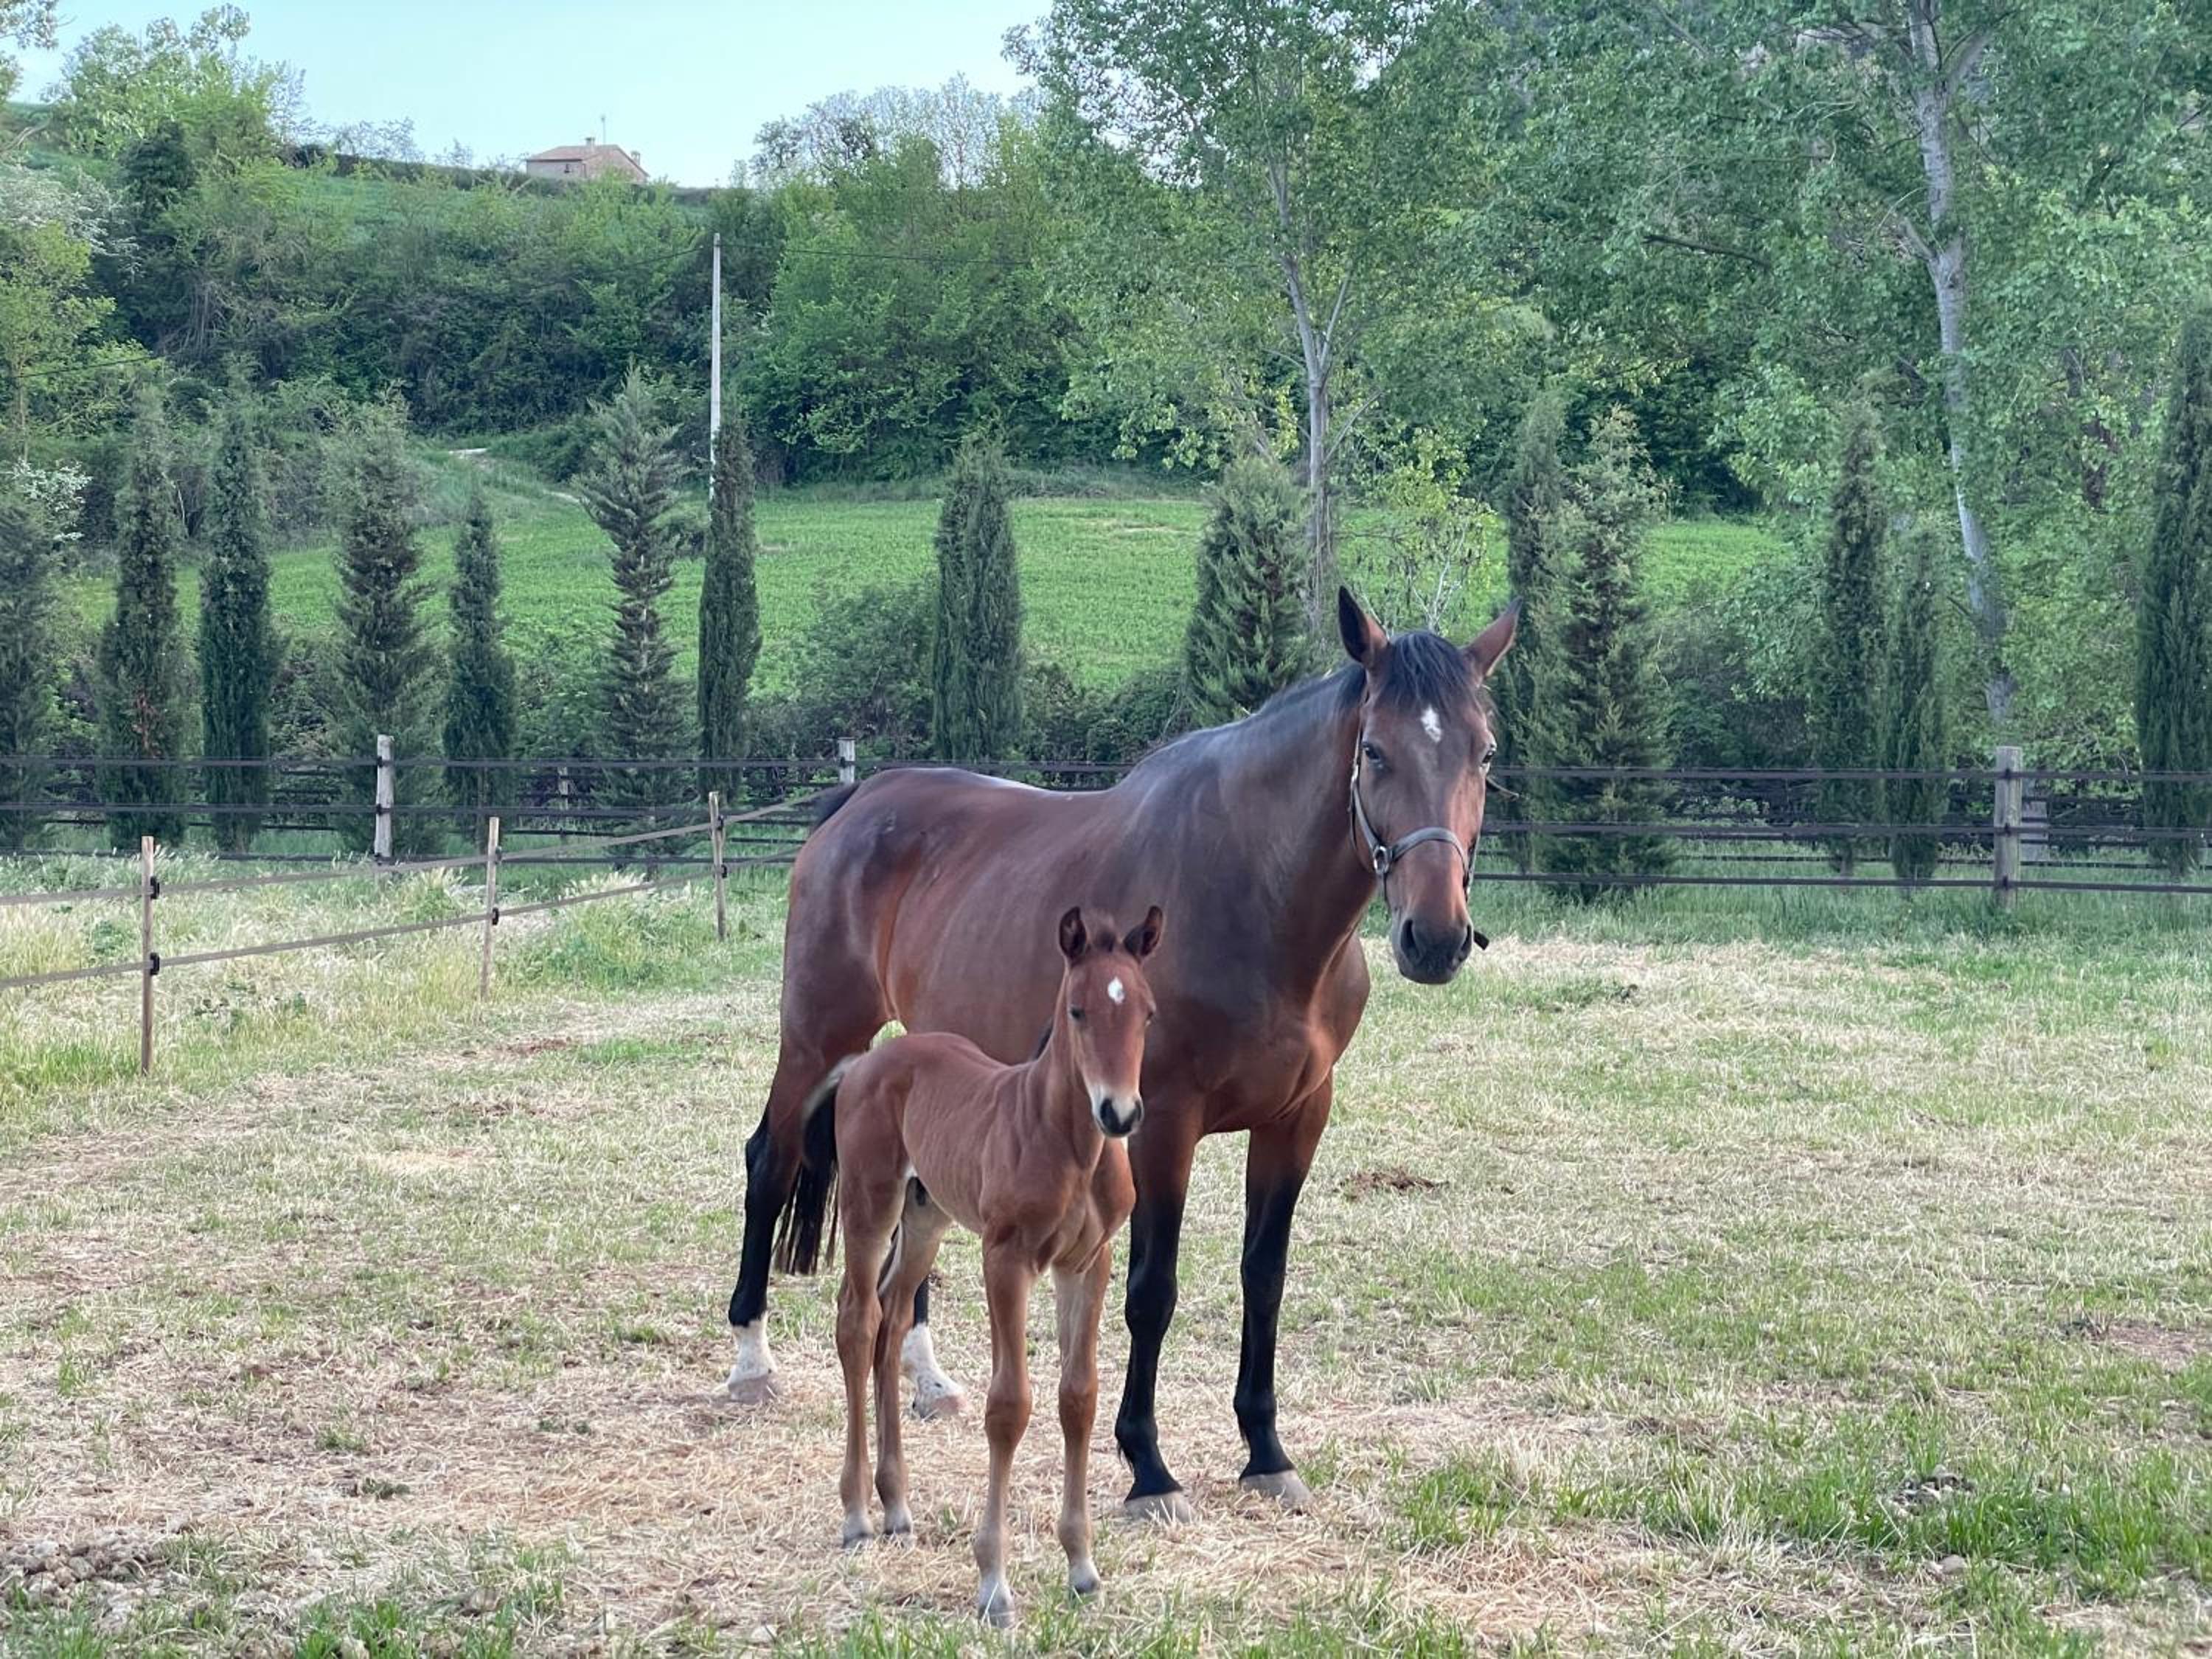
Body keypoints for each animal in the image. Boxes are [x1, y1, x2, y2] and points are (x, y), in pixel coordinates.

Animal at [728, 587, 1517, 1519]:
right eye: (1374, 750)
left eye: (1484, 752)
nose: (1435, 938)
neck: (1252, 896)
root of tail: (856, 801)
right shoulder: (1160, 1123)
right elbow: (1152, 1290)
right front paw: (1149, 1466)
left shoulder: (1298, 1119)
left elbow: (1265, 1279)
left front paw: (1266, 1451)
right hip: (817, 1037)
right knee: (768, 1160)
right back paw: (751, 1362)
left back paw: (928, 1377)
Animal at [823, 904, 1159, 1627]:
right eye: (1078, 1010)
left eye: (1148, 1012)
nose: (1120, 1113)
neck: (1070, 1144)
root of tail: (869, 1061)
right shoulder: (1005, 1258)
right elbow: (1009, 1405)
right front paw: (994, 1583)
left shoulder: (1087, 1263)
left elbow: (1078, 1397)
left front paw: (1082, 1567)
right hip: (870, 1205)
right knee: (858, 1320)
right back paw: (858, 1514)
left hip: (926, 1218)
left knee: (893, 1321)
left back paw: (897, 1505)